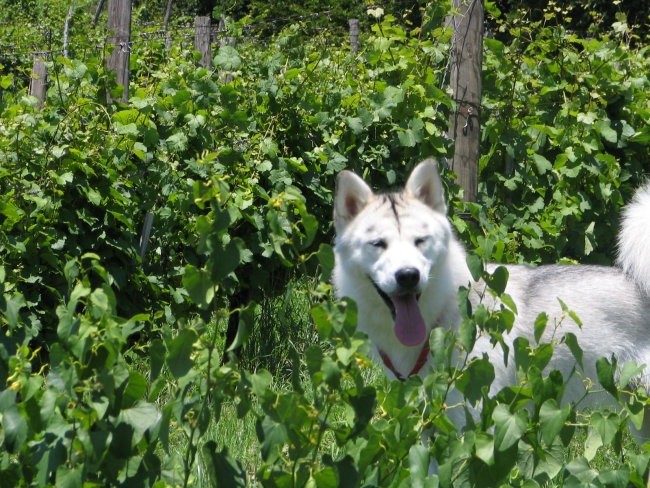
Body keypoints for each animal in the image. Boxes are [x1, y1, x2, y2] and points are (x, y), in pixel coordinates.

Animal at [332, 160, 648, 438]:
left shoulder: (476, 426)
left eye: (420, 241)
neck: (444, 317)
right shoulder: (431, 429)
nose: (408, 275)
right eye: (378, 244)